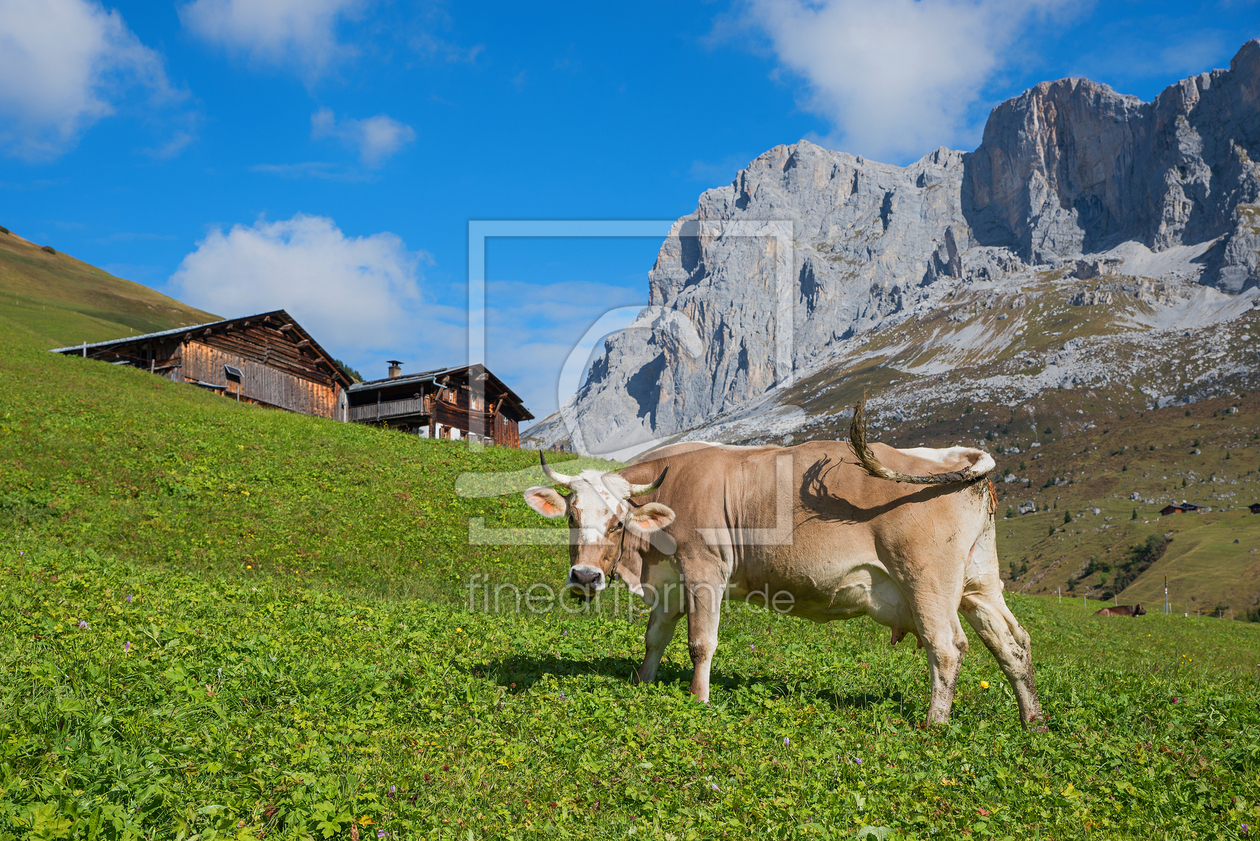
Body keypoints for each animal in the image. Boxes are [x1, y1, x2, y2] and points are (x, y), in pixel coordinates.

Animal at [522, 402, 1044, 728]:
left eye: (617, 521)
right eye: (572, 517)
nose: (585, 577)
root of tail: (946, 456)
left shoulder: (704, 572)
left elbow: (700, 643)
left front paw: (697, 699)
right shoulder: (671, 581)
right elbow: (655, 637)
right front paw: (641, 683)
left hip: (927, 581)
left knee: (947, 647)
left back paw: (934, 725)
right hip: (979, 582)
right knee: (1012, 643)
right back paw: (1033, 721)